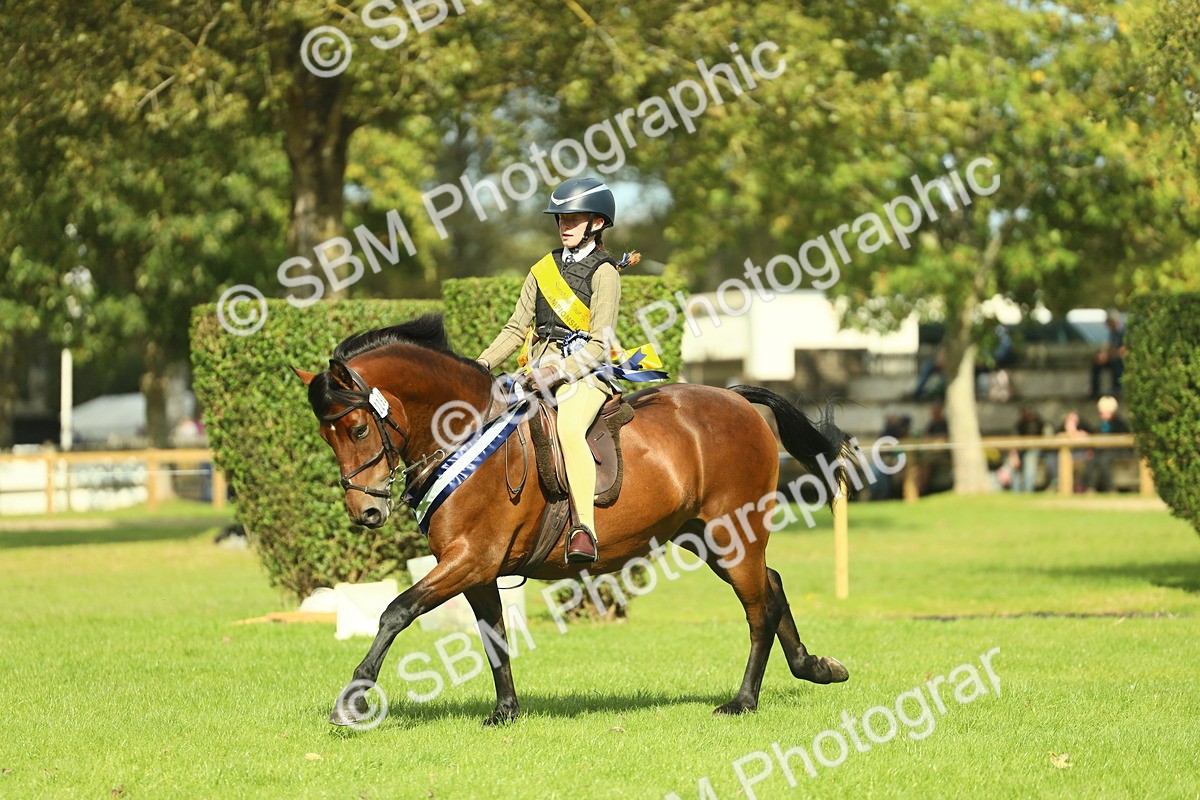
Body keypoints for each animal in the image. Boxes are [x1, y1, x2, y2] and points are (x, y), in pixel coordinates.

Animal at [293, 313, 852, 727]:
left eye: (358, 428)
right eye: (325, 436)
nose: (366, 511)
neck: (466, 434)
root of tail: (735, 397)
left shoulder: (470, 559)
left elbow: (395, 611)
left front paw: (352, 700)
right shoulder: (475, 569)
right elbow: (493, 635)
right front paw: (506, 711)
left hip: (731, 533)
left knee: (759, 608)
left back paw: (744, 701)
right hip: (705, 537)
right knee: (772, 585)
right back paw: (816, 667)